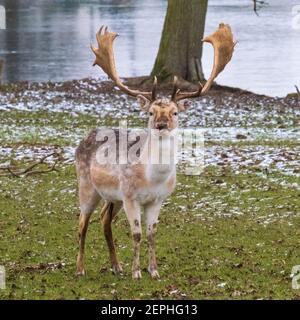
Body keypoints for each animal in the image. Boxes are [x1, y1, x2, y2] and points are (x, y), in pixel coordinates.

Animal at [75, 23, 234, 278]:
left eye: (175, 112)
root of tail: (85, 138)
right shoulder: (130, 196)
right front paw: (136, 273)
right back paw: (80, 269)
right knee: (82, 222)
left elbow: (151, 234)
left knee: (104, 219)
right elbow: (137, 234)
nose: (161, 125)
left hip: (113, 197)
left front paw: (154, 271)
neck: (152, 179)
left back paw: (116, 266)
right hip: (87, 186)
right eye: (150, 112)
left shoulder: (158, 199)